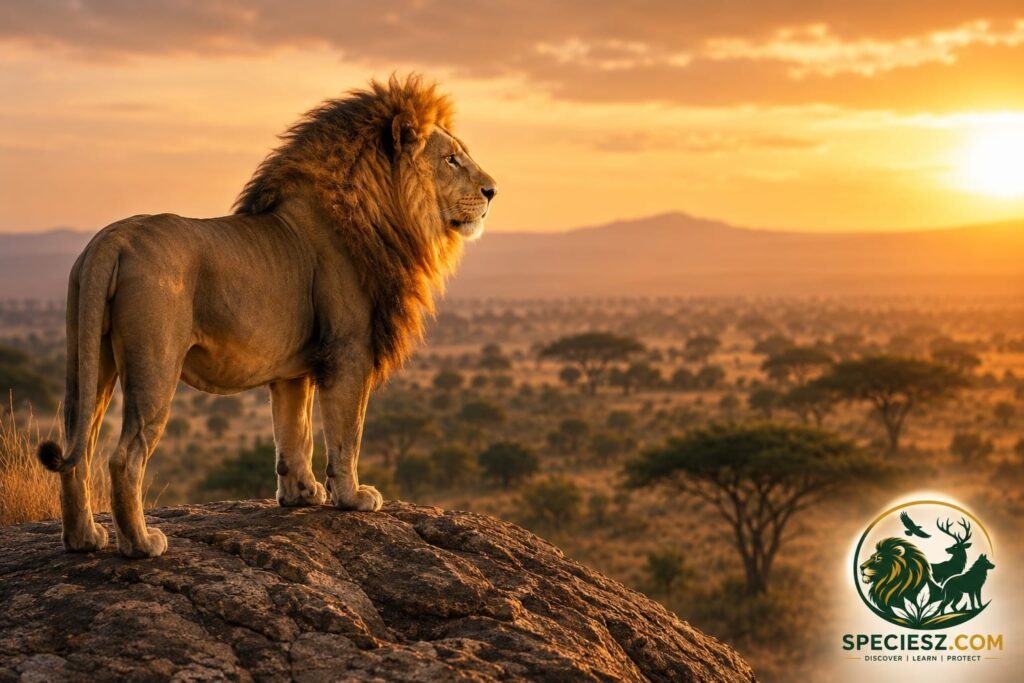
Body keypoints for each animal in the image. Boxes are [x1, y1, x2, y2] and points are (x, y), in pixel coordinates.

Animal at [36, 75, 497, 558]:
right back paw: (141, 543)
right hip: (155, 364)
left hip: (89, 358)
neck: (383, 214)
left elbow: (294, 432)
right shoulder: (349, 350)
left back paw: (83, 539)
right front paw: (352, 497)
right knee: (125, 456)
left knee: (78, 447)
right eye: (451, 158)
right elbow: (346, 432)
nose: (493, 191)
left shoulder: (293, 370)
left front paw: (301, 494)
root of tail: (113, 240)